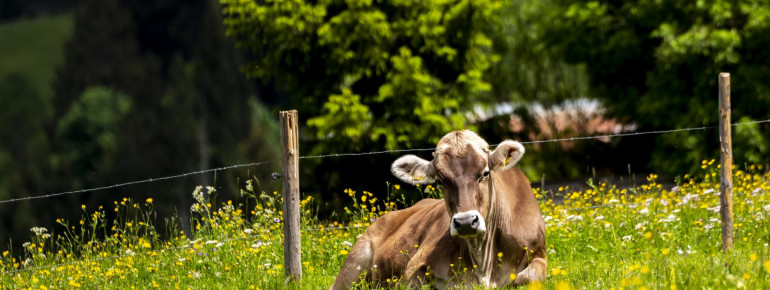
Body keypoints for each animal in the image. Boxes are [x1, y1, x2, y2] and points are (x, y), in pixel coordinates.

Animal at [330, 131, 544, 288]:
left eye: (484, 173)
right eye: (440, 181)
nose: (466, 221)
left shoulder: (539, 253)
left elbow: (525, 277)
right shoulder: (412, 269)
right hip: (353, 265)